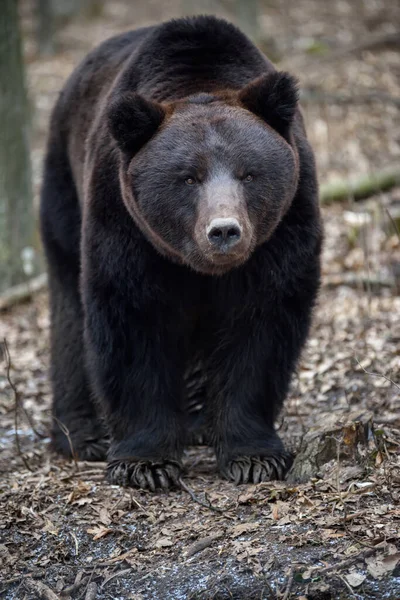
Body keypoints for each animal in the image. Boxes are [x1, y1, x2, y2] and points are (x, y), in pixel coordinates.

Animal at [39, 16, 322, 490]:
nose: (224, 231)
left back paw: (199, 422)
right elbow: (133, 323)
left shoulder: (283, 230)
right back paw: (82, 433)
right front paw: (146, 463)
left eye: (249, 173)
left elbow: (261, 326)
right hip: (64, 188)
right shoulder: (125, 225)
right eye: (188, 177)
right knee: (70, 311)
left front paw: (253, 455)